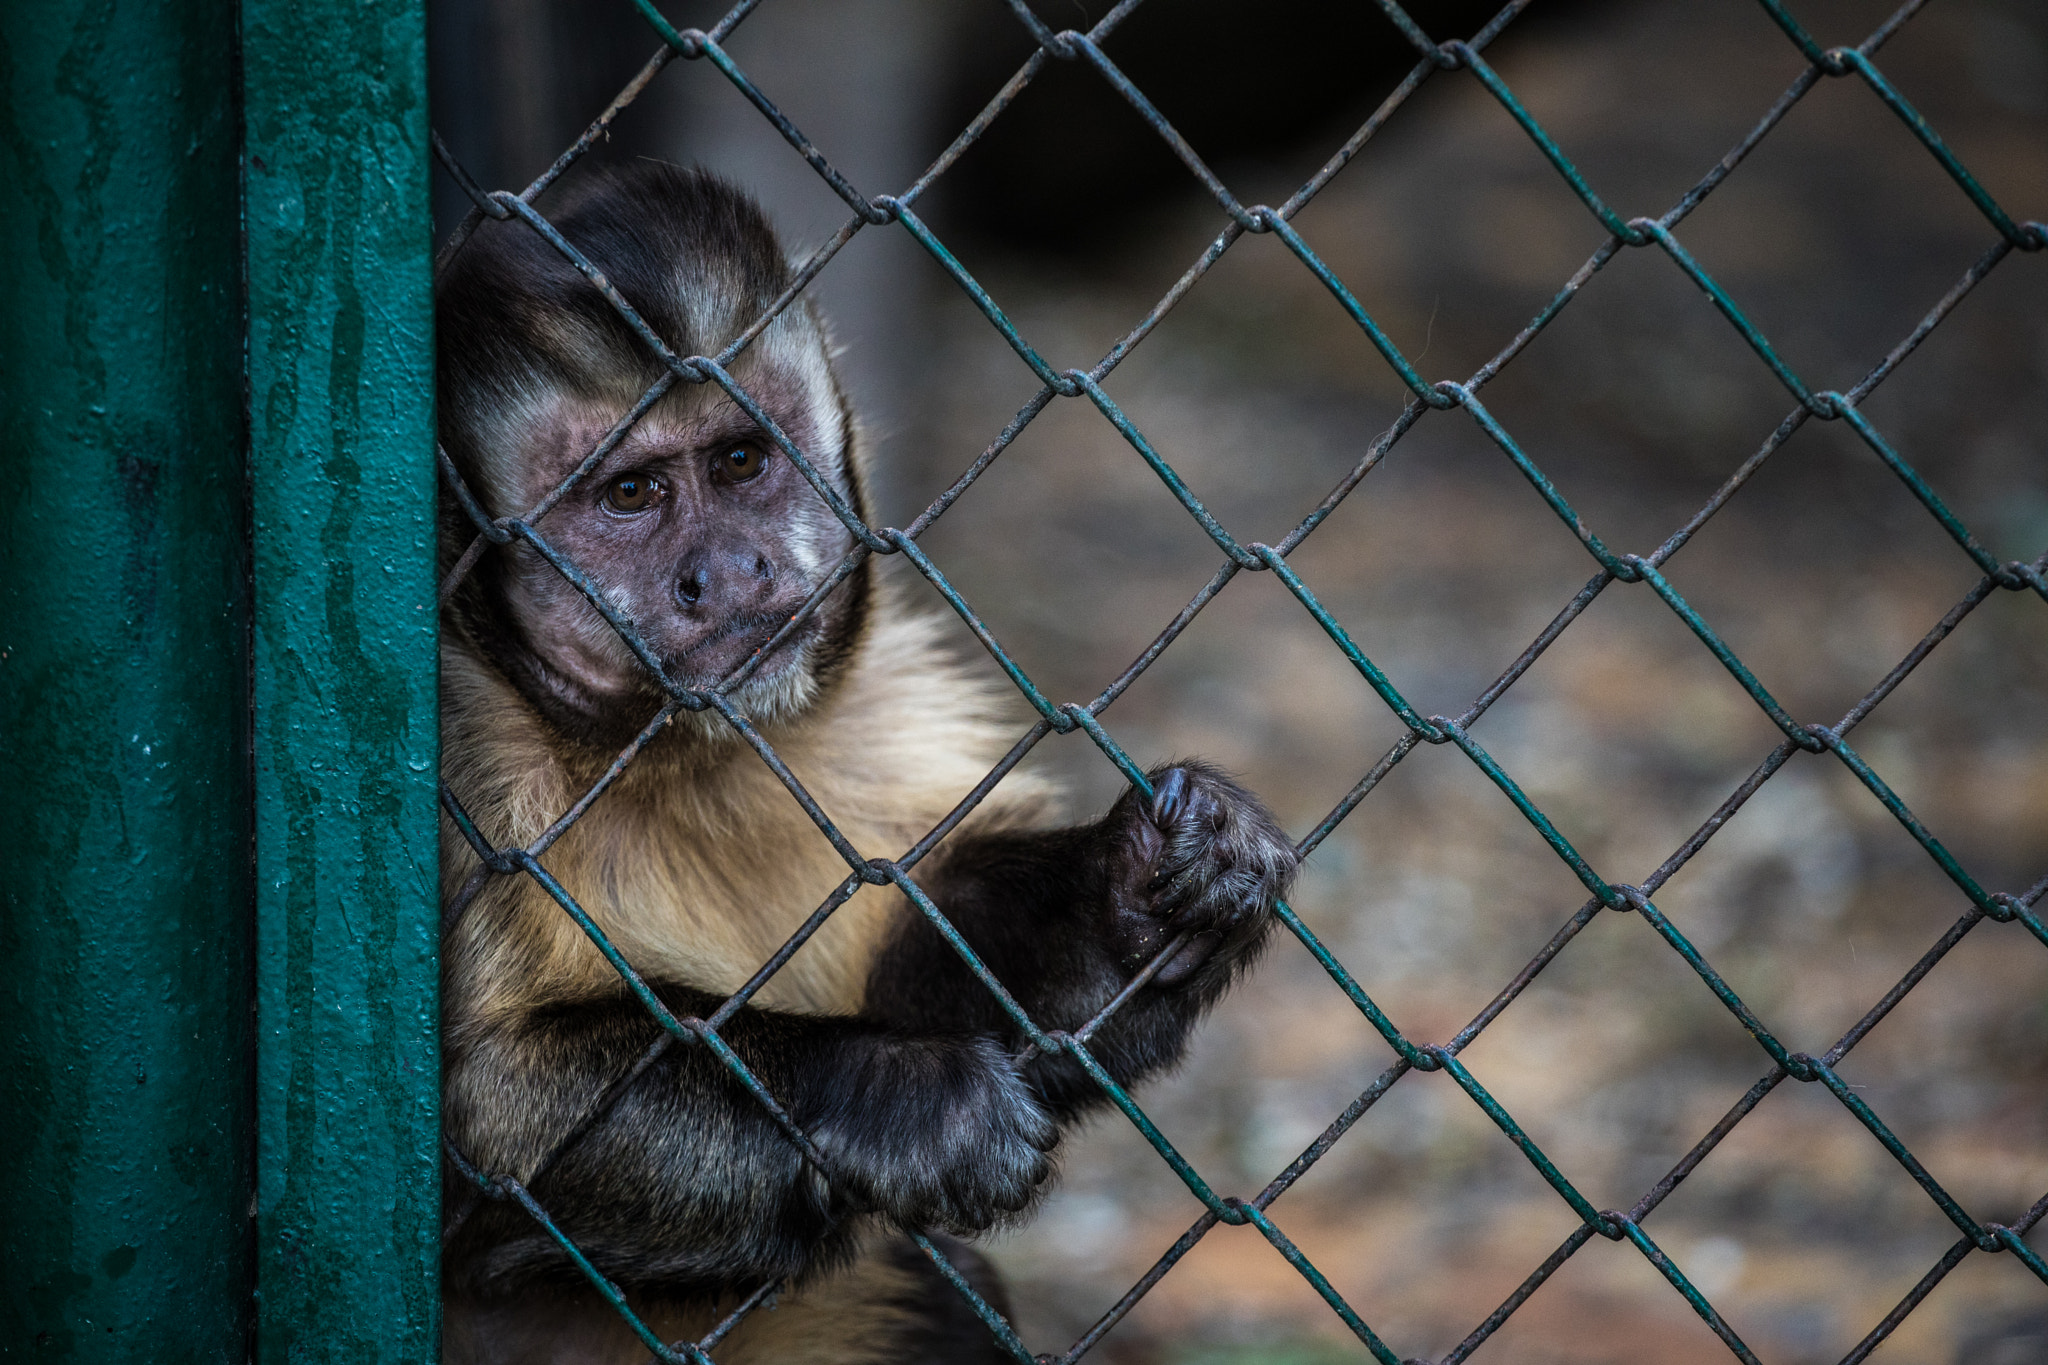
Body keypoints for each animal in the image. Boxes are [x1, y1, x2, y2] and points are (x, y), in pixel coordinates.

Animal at [435, 163, 1297, 1364]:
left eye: (740, 461)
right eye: (630, 495)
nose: (726, 569)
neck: (666, 745)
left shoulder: (879, 694)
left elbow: (928, 968)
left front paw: (1139, 892)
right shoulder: (454, 744)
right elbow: (468, 1115)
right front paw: (896, 1096)